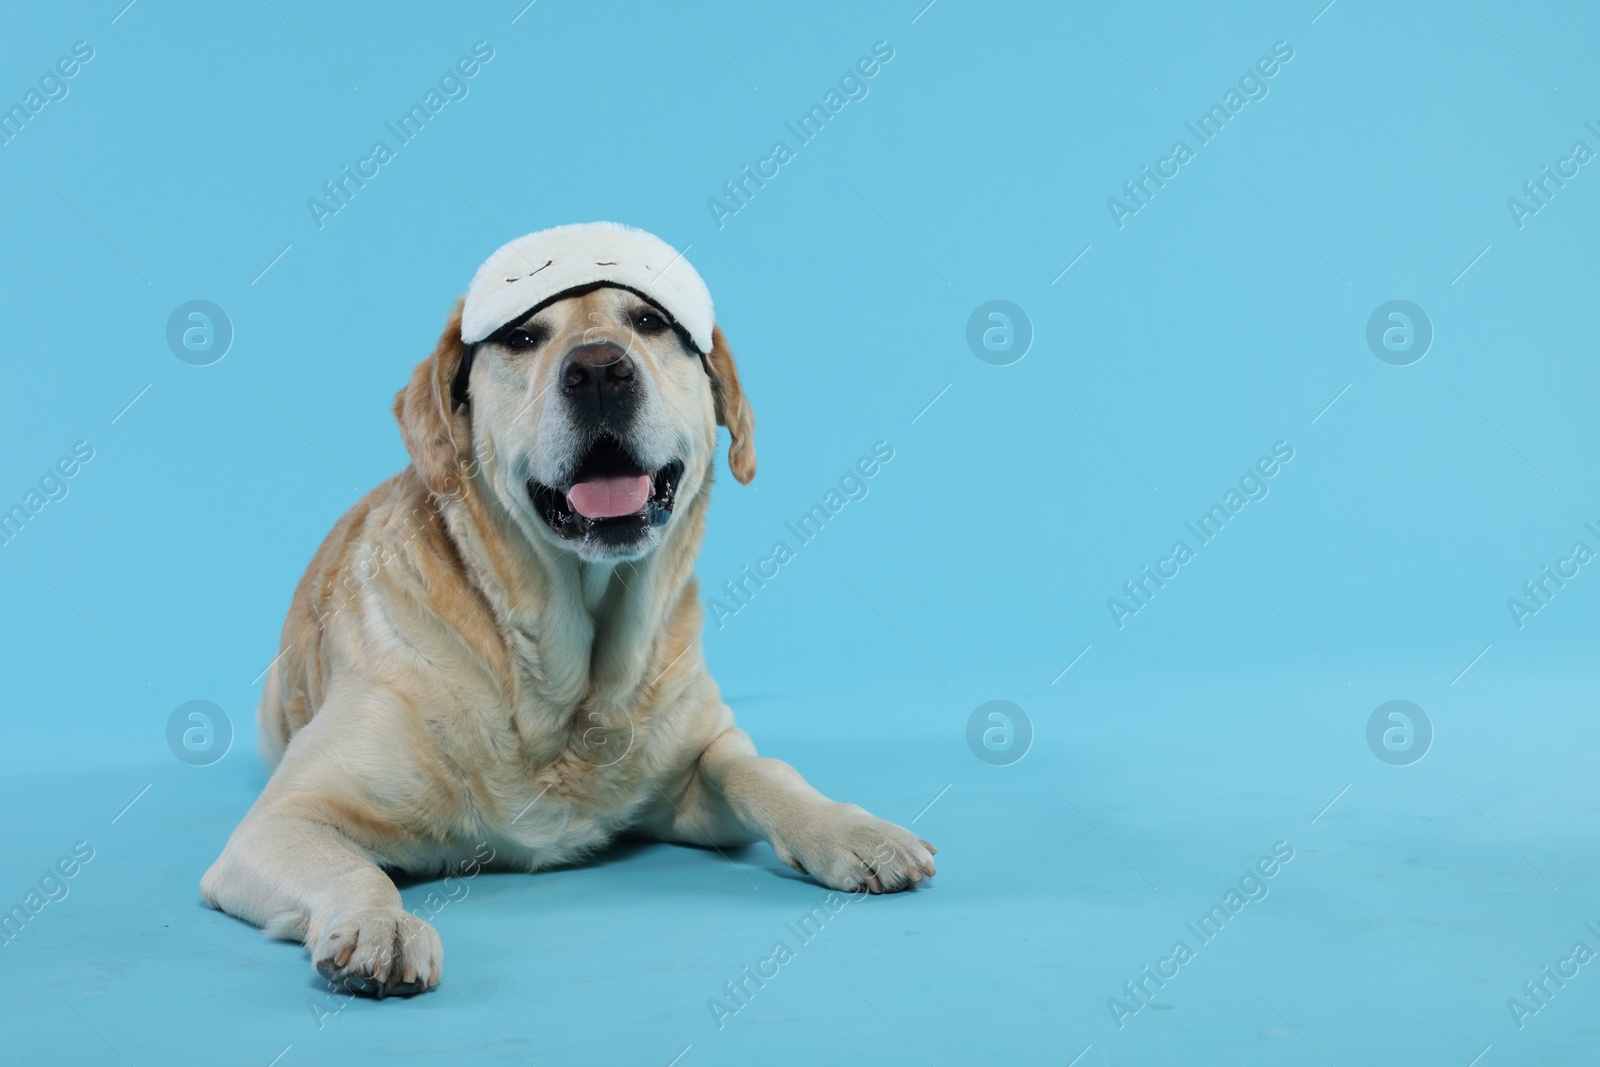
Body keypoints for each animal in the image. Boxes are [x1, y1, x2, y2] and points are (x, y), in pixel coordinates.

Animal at [196, 220, 934, 998]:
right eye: (523, 337)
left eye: (650, 322)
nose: (600, 370)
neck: (560, 683)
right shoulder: (282, 820)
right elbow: (353, 868)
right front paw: (379, 924)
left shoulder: (703, 755)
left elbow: (763, 771)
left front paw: (852, 829)